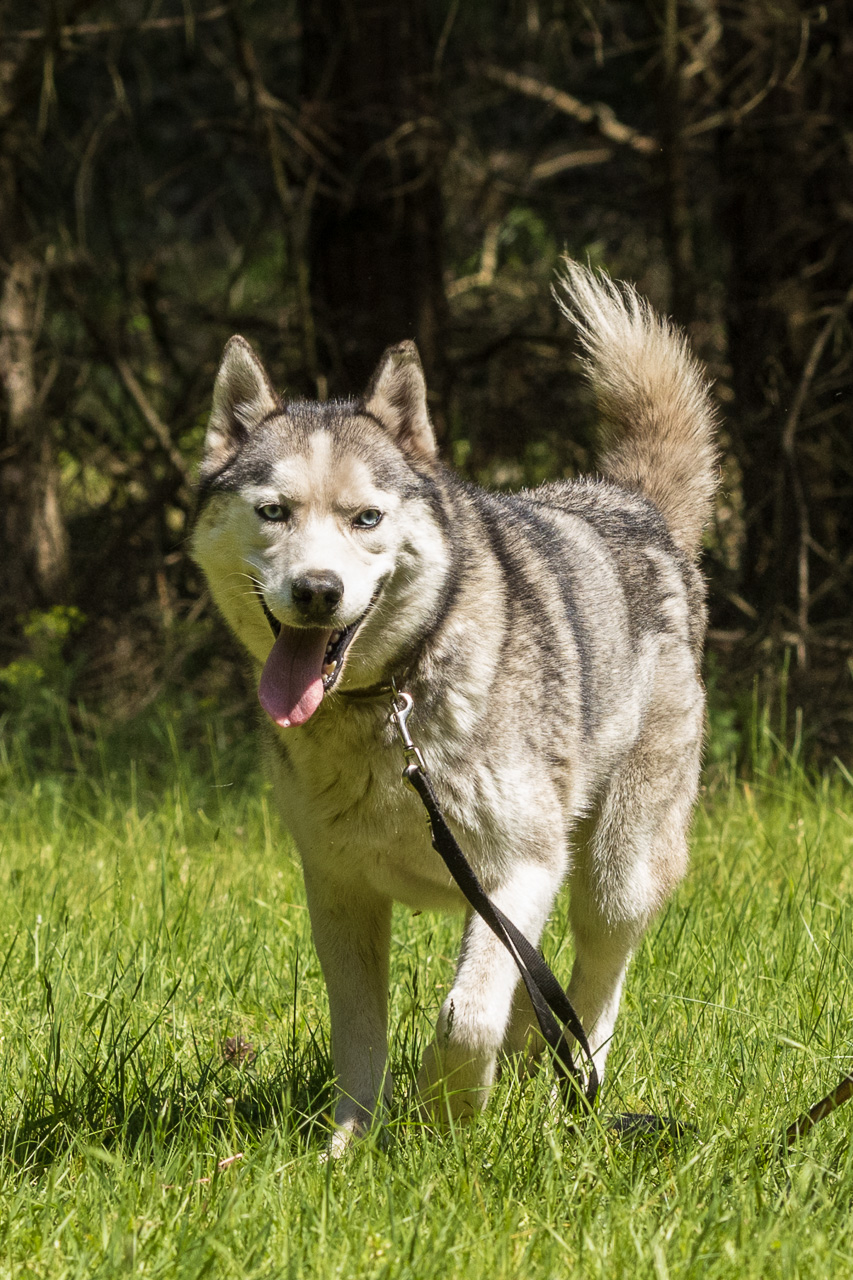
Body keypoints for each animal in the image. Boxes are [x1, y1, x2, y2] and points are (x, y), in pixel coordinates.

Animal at [191, 262, 717, 1153]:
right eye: (273, 511)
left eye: (366, 517)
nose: (317, 590)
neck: (390, 703)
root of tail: (628, 502)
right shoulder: (337, 889)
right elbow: (361, 1036)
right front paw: (346, 1149)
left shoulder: (519, 867)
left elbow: (463, 1016)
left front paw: (446, 1114)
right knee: (540, 993)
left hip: (615, 870)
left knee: (596, 985)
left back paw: (567, 1093)